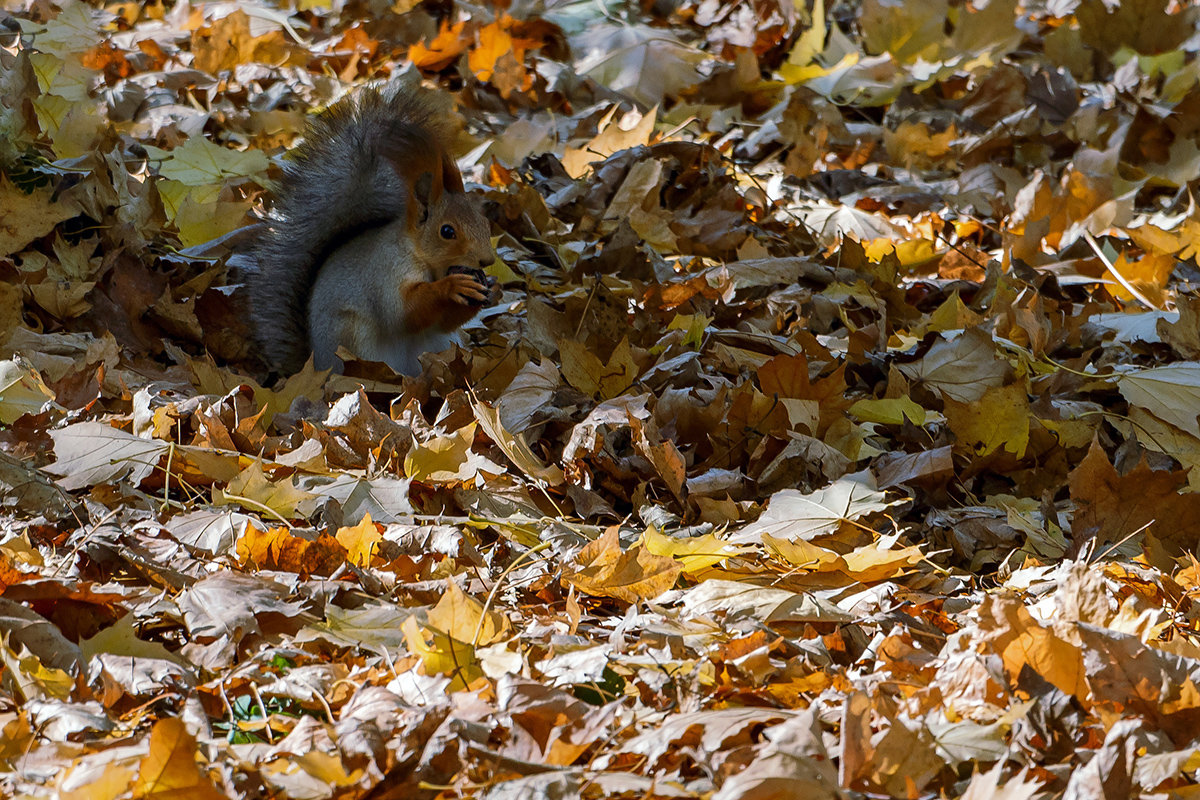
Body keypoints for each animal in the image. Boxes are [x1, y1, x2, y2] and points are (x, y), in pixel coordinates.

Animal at [246, 86, 494, 376]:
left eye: (485, 222)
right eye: (447, 231)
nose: (487, 260)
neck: (422, 257)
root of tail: (316, 365)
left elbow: (441, 321)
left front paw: (485, 287)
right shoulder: (386, 272)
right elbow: (403, 313)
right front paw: (453, 285)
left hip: (437, 345)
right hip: (350, 335)